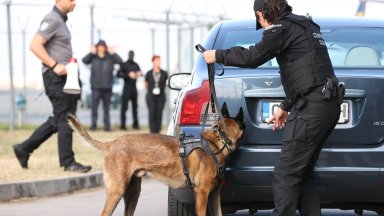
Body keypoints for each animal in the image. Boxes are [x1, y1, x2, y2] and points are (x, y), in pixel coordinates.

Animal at [67, 104, 244, 215]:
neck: (217, 142)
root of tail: (110, 144)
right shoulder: (201, 193)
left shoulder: (214, 195)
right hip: (117, 191)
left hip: (133, 193)